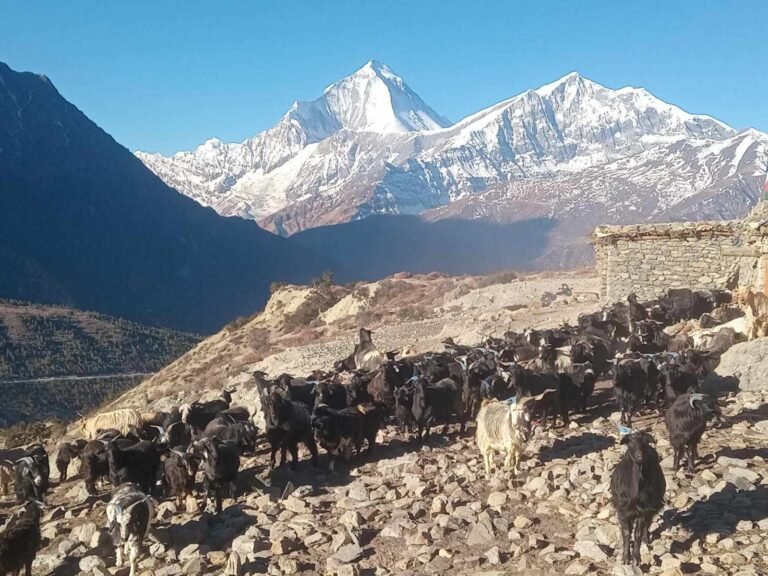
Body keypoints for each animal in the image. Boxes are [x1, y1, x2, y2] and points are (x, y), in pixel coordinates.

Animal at [610, 431, 666, 566]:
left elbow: (638, 533)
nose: (640, 457)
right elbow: (626, 533)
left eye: (645, 442)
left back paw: (646, 540)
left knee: (646, 525)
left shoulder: (643, 510)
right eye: (630, 443)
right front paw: (625, 558)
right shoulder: (623, 510)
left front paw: (636, 558)